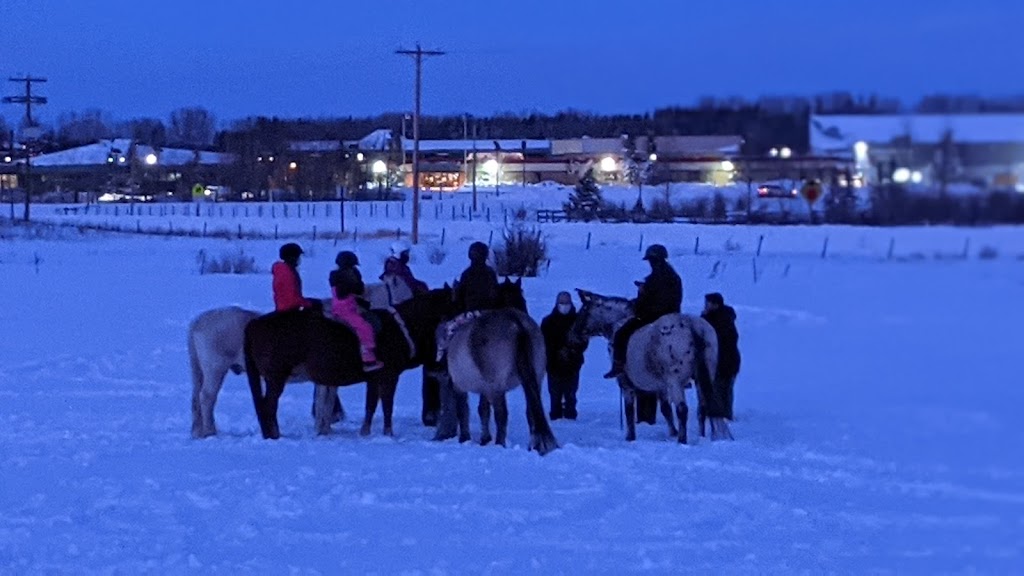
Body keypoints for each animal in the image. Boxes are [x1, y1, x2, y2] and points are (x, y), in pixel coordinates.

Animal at [243, 284, 452, 436]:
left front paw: (365, 433)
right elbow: (387, 405)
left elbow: (370, 405)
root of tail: (254, 324)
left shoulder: (374, 379)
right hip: (276, 378)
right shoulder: (389, 376)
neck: (400, 327)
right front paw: (388, 434)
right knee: (268, 406)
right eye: (455, 301)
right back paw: (275, 435)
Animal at [434, 276, 561, 455]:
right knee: (531, 412)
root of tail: (516, 324)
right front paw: (484, 439)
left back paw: (500, 444)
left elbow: (463, 411)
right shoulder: (484, 388)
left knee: (502, 415)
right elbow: (483, 410)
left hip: (497, 388)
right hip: (535, 380)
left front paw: (465, 438)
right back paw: (532, 446)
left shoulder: (459, 386)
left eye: (448, 301)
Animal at [573, 289, 733, 440]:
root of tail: (692, 327)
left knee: (682, 409)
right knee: (702, 408)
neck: (618, 323)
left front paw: (630, 437)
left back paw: (682, 439)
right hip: (702, 379)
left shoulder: (626, 384)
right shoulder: (661, 386)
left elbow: (629, 411)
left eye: (584, 309)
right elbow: (665, 409)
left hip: (675, 381)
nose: (575, 333)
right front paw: (672, 432)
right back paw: (700, 435)